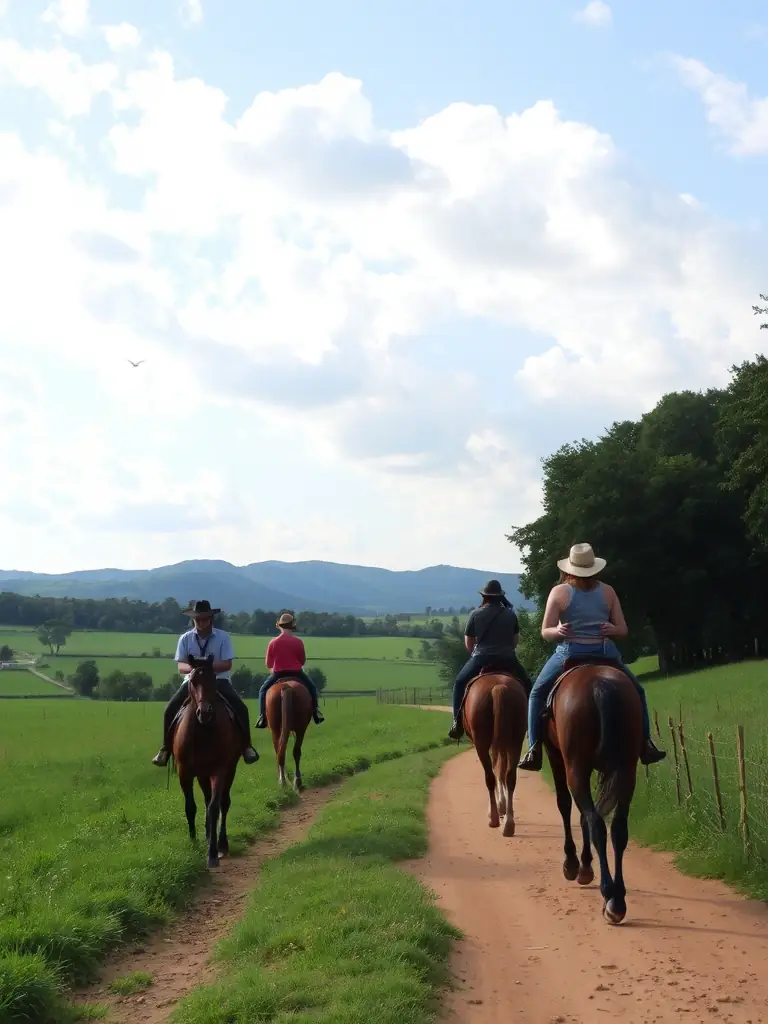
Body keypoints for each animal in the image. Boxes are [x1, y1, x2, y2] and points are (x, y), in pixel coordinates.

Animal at [171, 655, 245, 869]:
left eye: (213, 680)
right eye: (194, 681)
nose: (205, 713)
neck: (202, 731)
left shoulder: (219, 770)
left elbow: (214, 808)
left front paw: (212, 853)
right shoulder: (185, 771)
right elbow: (190, 806)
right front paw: (193, 842)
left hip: (229, 770)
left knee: (223, 803)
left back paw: (222, 843)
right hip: (202, 774)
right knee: (206, 799)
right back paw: (206, 834)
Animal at [462, 669, 529, 837]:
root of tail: (498, 687)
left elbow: (496, 770)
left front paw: (499, 806)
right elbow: (502, 770)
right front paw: (503, 806)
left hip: (481, 743)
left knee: (490, 777)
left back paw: (493, 818)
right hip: (515, 742)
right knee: (510, 777)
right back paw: (509, 824)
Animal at [543, 659, 643, 924]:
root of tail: (599, 684)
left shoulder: (555, 756)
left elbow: (565, 804)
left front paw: (574, 865)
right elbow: (584, 815)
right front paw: (585, 866)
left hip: (575, 768)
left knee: (596, 822)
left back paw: (608, 894)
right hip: (627, 771)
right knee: (618, 828)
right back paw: (618, 901)